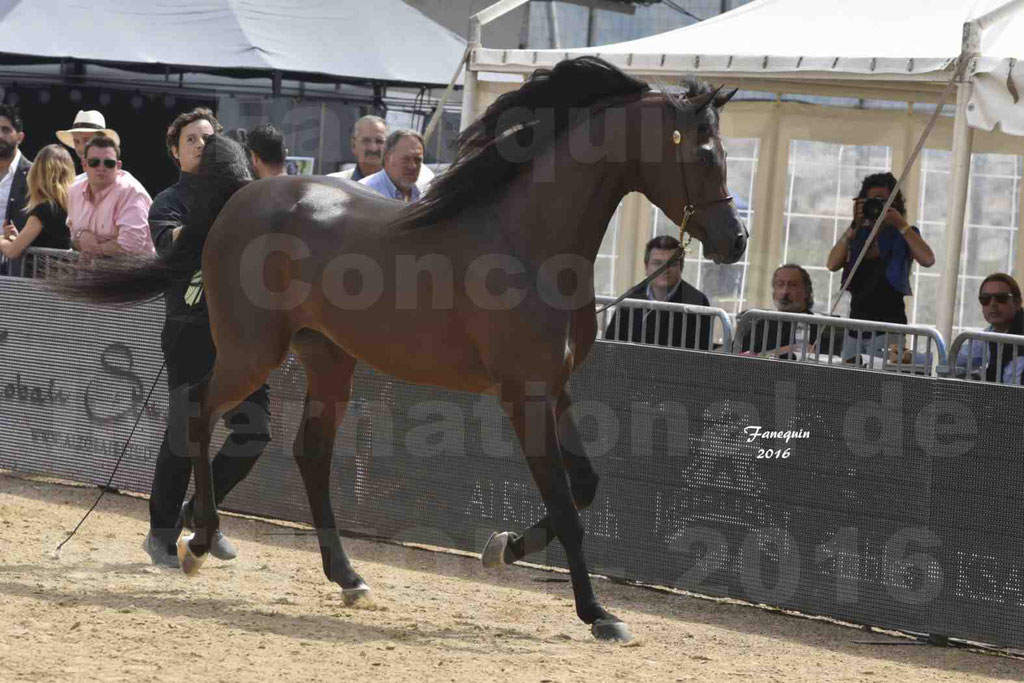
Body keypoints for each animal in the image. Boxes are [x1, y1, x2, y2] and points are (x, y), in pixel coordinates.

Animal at [66, 57, 753, 643]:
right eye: (704, 151)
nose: (735, 241)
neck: (527, 238)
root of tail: (241, 198)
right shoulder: (523, 396)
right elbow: (567, 504)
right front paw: (599, 615)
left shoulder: (555, 389)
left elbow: (583, 487)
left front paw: (504, 547)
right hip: (250, 351)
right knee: (199, 411)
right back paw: (199, 540)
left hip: (327, 358)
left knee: (308, 452)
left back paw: (345, 576)